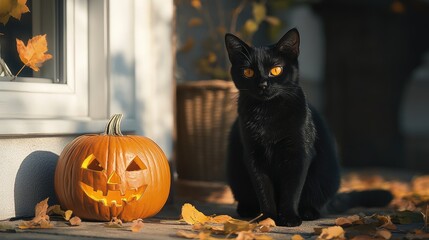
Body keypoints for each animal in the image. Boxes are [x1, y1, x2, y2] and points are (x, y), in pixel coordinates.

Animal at [224, 28, 392, 227]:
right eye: (248, 72)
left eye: (276, 70)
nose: (263, 84)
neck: (267, 114)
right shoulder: (253, 156)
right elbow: (263, 189)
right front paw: (267, 218)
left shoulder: (299, 153)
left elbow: (291, 190)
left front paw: (289, 218)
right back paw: (248, 210)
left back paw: (308, 212)